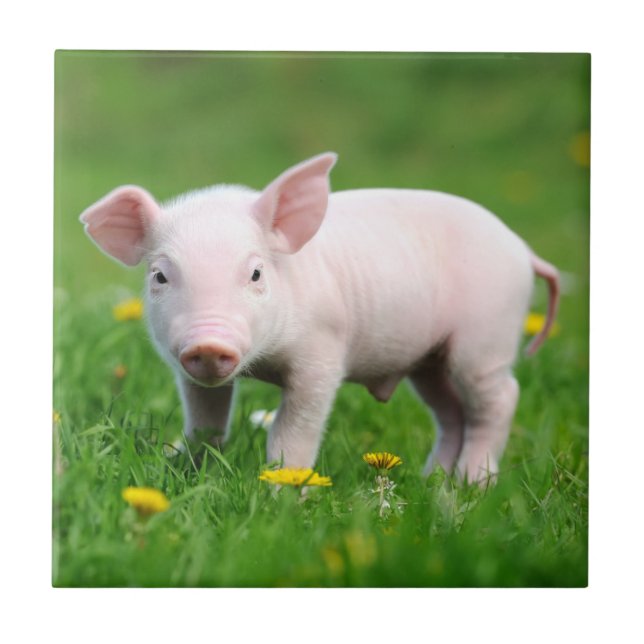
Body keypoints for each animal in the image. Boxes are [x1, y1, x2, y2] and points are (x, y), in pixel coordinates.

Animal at [80, 153, 559, 483]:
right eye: (160, 275)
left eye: (256, 273)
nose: (209, 343)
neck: (263, 363)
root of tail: (523, 249)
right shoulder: (189, 373)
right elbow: (205, 422)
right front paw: (179, 468)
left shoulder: (322, 355)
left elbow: (292, 432)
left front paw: (283, 492)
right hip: (430, 360)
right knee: (451, 412)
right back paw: (430, 482)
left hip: (486, 336)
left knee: (500, 398)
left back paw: (472, 484)